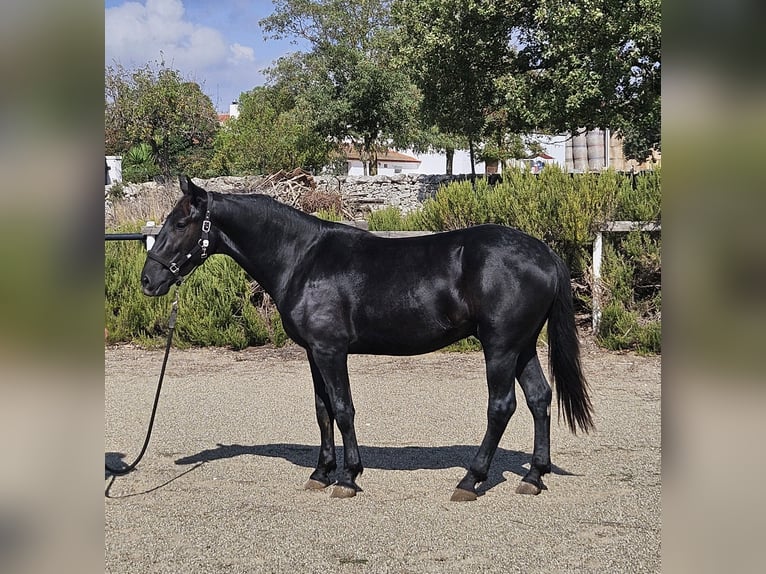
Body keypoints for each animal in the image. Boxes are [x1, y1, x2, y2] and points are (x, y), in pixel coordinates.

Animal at [142, 177, 592, 504]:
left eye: (180, 224)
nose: (149, 280)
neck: (301, 258)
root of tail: (544, 253)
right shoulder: (314, 353)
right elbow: (322, 410)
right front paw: (321, 473)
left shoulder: (331, 350)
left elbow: (343, 410)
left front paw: (348, 477)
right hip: (523, 346)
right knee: (539, 398)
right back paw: (533, 476)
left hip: (500, 347)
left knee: (501, 407)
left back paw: (471, 480)